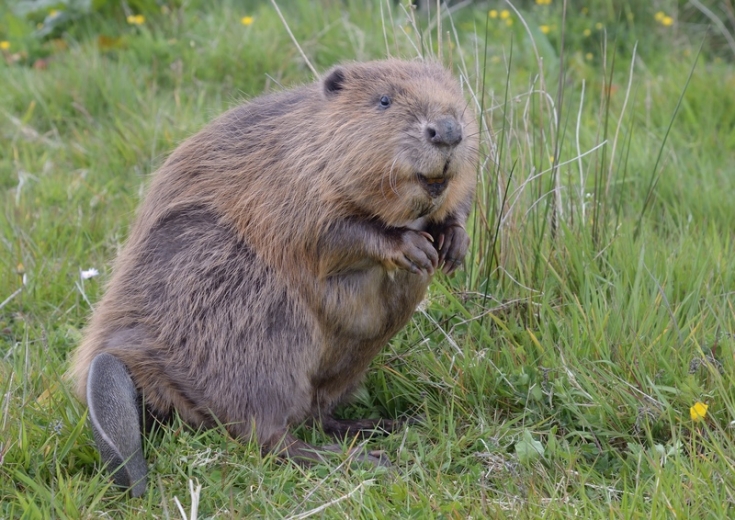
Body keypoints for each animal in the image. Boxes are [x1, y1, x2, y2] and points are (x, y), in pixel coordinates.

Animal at [69, 57, 480, 496]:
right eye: (384, 100)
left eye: (455, 94)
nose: (447, 131)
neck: (307, 137)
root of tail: (119, 358)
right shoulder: (287, 176)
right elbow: (329, 233)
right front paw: (412, 247)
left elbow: (460, 200)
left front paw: (453, 243)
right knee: (264, 432)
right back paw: (361, 458)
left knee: (317, 412)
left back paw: (388, 423)